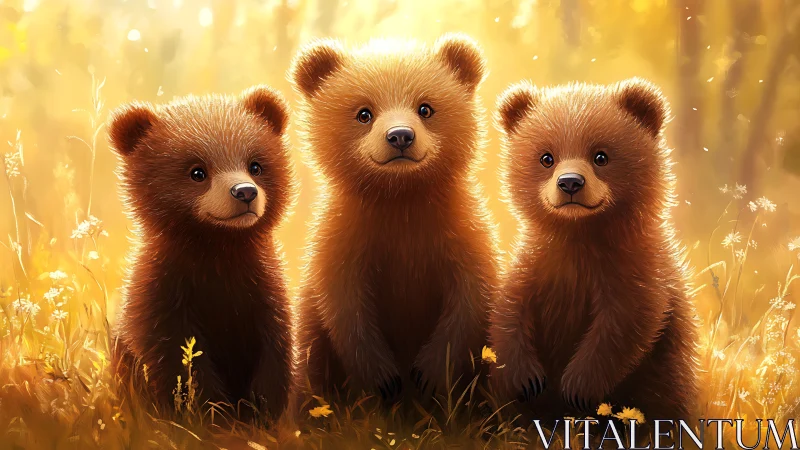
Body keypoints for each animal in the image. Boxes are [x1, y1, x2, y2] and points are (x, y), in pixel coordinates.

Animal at [108, 86, 295, 421]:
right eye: (197, 172)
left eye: (256, 165)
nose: (245, 192)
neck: (217, 251)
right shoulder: (164, 300)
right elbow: (182, 363)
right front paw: (211, 413)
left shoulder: (264, 293)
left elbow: (275, 352)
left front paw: (261, 409)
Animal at [289, 34, 501, 406]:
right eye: (363, 112)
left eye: (426, 108)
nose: (400, 135)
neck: (400, 200)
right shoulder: (346, 239)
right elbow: (344, 307)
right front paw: (384, 379)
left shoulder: (461, 232)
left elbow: (471, 299)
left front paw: (429, 373)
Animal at [489, 78, 699, 423]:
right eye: (546, 157)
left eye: (601, 156)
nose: (570, 183)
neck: (580, 235)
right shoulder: (538, 263)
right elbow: (509, 308)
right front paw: (527, 378)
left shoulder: (634, 267)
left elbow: (627, 322)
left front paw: (577, 387)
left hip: (667, 372)